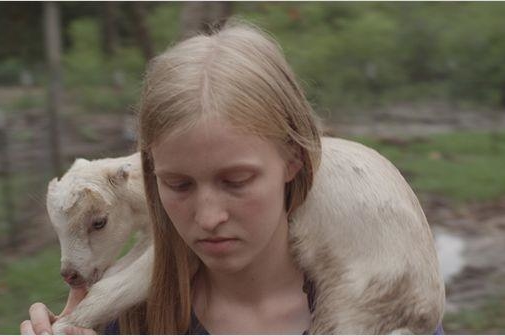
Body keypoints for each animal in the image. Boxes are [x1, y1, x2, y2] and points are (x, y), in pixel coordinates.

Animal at [46, 136, 440, 334]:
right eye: (57, 228)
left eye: (99, 222)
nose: (70, 274)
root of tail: (425, 310)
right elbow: (119, 269)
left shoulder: (181, 240)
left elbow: (128, 282)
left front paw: (65, 324)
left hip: (359, 298)